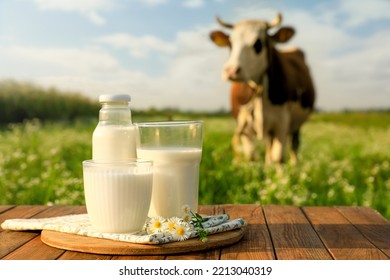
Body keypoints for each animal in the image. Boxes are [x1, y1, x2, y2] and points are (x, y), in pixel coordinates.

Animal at [209, 13, 316, 164]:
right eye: (230, 44)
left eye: (258, 43)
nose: (231, 70)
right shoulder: (244, 126)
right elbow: (250, 156)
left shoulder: (281, 123)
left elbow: (279, 157)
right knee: (269, 146)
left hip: (295, 125)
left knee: (293, 145)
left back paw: (294, 166)